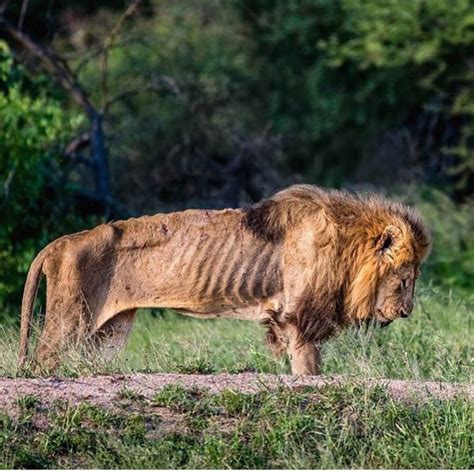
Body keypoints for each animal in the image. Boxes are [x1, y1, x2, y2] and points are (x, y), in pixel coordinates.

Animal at [18, 185, 432, 374]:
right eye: (404, 279)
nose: (407, 312)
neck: (347, 246)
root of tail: (60, 242)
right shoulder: (299, 318)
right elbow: (309, 368)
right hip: (70, 320)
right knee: (42, 361)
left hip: (108, 332)